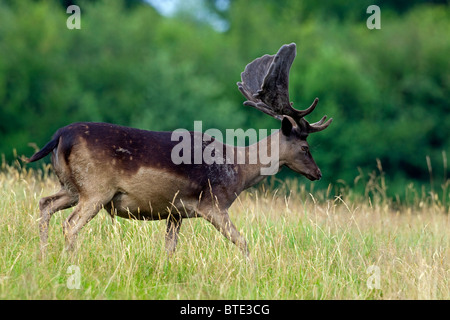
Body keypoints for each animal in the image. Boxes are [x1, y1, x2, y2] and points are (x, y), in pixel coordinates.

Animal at [28, 42, 330, 258]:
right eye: (305, 147)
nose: (318, 173)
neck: (240, 171)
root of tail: (59, 136)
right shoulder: (214, 204)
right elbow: (243, 242)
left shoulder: (175, 212)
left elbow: (169, 248)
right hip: (95, 188)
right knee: (69, 224)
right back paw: (69, 262)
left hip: (70, 185)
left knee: (45, 204)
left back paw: (42, 257)